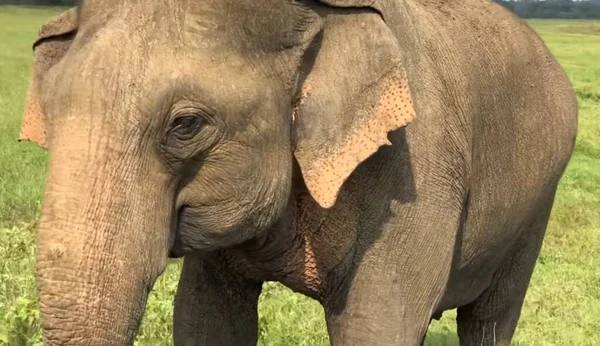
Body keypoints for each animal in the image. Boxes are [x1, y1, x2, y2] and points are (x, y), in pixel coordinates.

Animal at [19, 0, 576, 346]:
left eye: (186, 125)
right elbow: (205, 317)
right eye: (50, 107)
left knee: (490, 319)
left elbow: (374, 326)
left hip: (536, 208)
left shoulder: (417, 170)